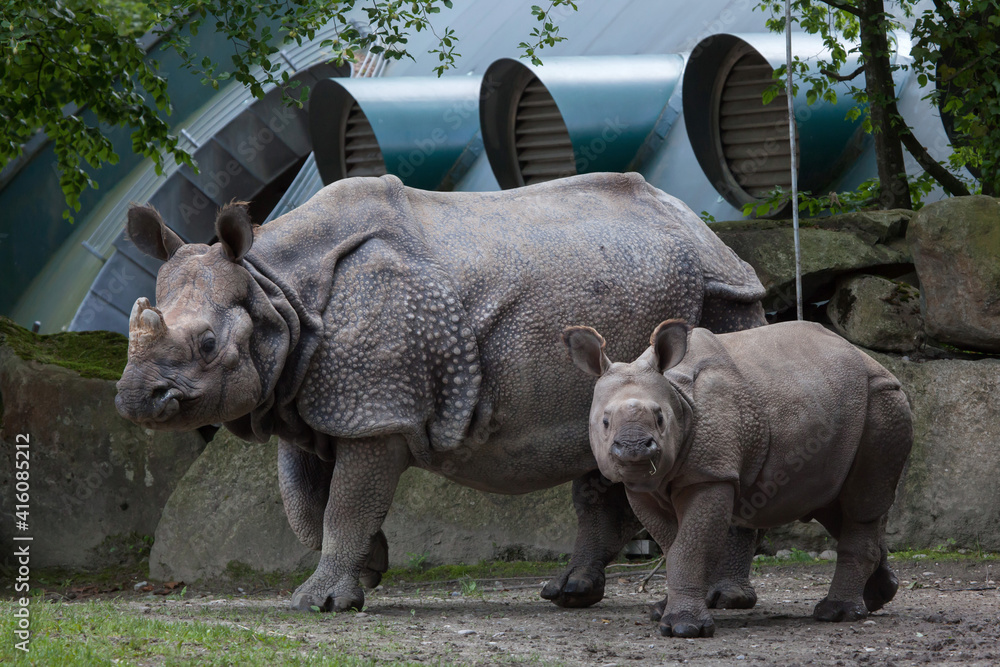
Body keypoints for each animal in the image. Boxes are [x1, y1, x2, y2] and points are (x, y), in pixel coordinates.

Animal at [115, 172, 768, 613]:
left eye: (206, 344)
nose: (135, 400)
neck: (274, 290)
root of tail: (701, 228)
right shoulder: (298, 399)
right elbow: (303, 504)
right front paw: (368, 570)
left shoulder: (375, 411)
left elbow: (346, 502)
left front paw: (318, 601)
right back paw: (569, 593)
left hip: (724, 293)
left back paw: (722, 598)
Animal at [562, 319, 913, 638]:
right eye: (604, 421)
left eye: (660, 418)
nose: (634, 448)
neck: (678, 397)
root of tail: (874, 361)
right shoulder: (642, 489)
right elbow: (673, 544)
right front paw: (662, 611)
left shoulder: (712, 474)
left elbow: (690, 546)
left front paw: (684, 628)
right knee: (833, 504)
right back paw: (876, 597)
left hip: (881, 400)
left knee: (861, 503)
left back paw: (836, 613)